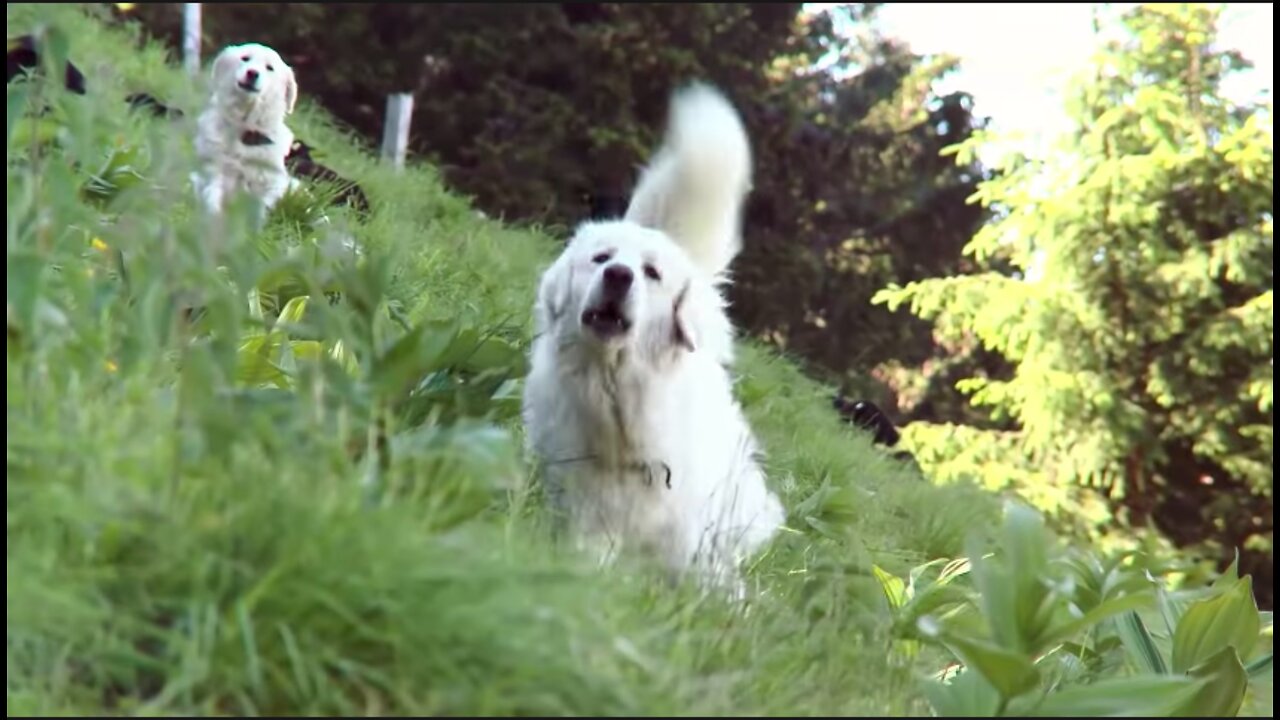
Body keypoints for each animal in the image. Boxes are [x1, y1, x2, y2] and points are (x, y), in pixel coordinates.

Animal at [192, 41, 299, 215]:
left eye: (270, 68)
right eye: (245, 58)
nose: (252, 73)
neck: (244, 126)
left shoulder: (272, 184)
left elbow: (263, 209)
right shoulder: (215, 169)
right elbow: (213, 196)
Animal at [517, 83, 778, 591]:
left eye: (652, 274)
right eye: (601, 258)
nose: (619, 275)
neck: (618, 390)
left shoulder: (688, 540)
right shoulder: (579, 506)